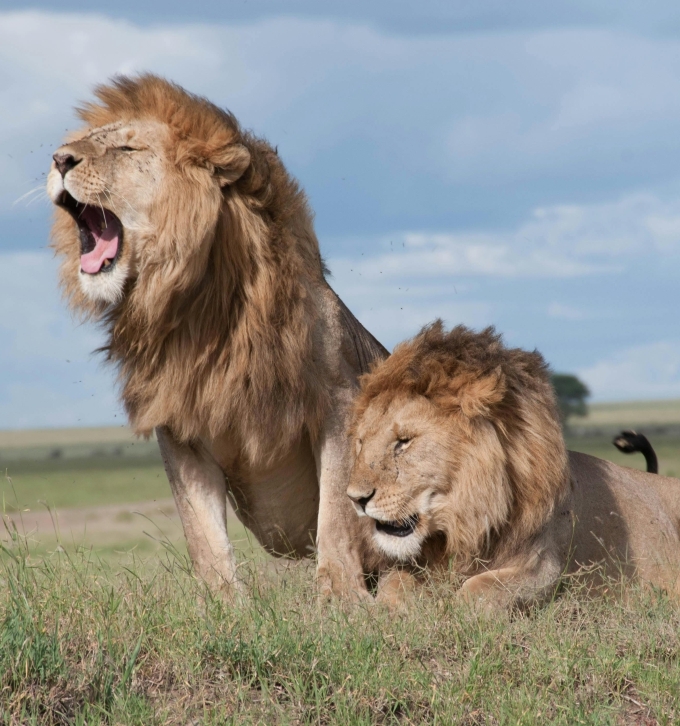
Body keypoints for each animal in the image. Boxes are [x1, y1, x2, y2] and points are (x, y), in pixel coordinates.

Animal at [48, 74, 387, 600]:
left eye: (126, 148)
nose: (59, 159)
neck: (198, 310)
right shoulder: (179, 424)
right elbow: (202, 533)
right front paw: (225, 605)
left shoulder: (338, 401)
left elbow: (336, 513)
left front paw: (341, 599)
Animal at [347, 321, 680, 609]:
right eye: (361, 442)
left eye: (404, 442)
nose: (355, 499)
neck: (466, 520)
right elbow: (394, 584)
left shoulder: (544, 567)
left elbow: (477, 588)